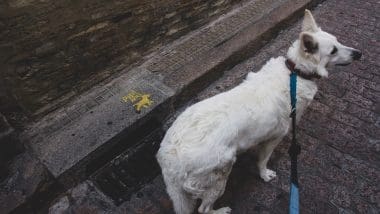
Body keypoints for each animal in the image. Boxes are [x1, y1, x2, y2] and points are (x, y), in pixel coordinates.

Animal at [156, 10, 360, 214]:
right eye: (333, 51)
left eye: (338, 41)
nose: (359, 53)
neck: (295, 72)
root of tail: (170, 157)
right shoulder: (275, 137)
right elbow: (263, 161)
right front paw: (265, 175)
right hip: (220, 173)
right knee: (203, 209)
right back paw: (220, 210)